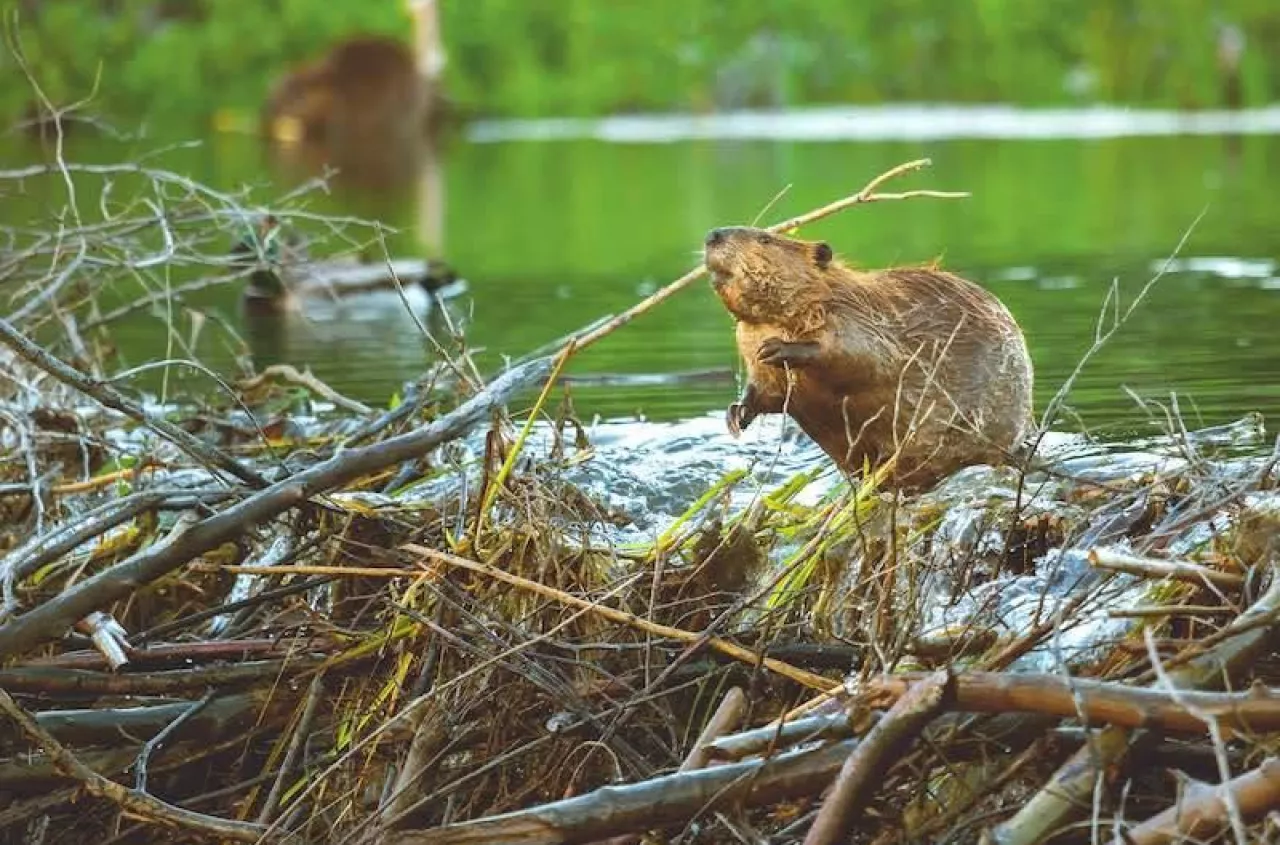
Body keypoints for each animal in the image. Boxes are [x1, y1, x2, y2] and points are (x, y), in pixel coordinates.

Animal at [706, 226, 1034, 489]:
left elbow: (861, 357)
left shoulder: (856, 317)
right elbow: (767, 391)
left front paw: (777, 349)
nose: (713, 235)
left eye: (765, 239)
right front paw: (736, 415)